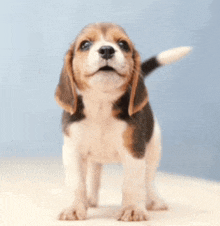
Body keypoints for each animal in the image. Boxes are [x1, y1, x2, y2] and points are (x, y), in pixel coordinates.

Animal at [54, 22, 191, 221]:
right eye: (85, 44)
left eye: (123, 44)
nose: (106, 50)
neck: (101, 105)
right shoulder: (73, 151)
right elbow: (77, 183)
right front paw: (75, 207)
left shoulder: (134, 151)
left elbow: (132, 184)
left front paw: (133, 209)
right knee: (94, 176)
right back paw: (90, 200)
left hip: (154, 147)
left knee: (148, 179)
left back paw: (153, 200)